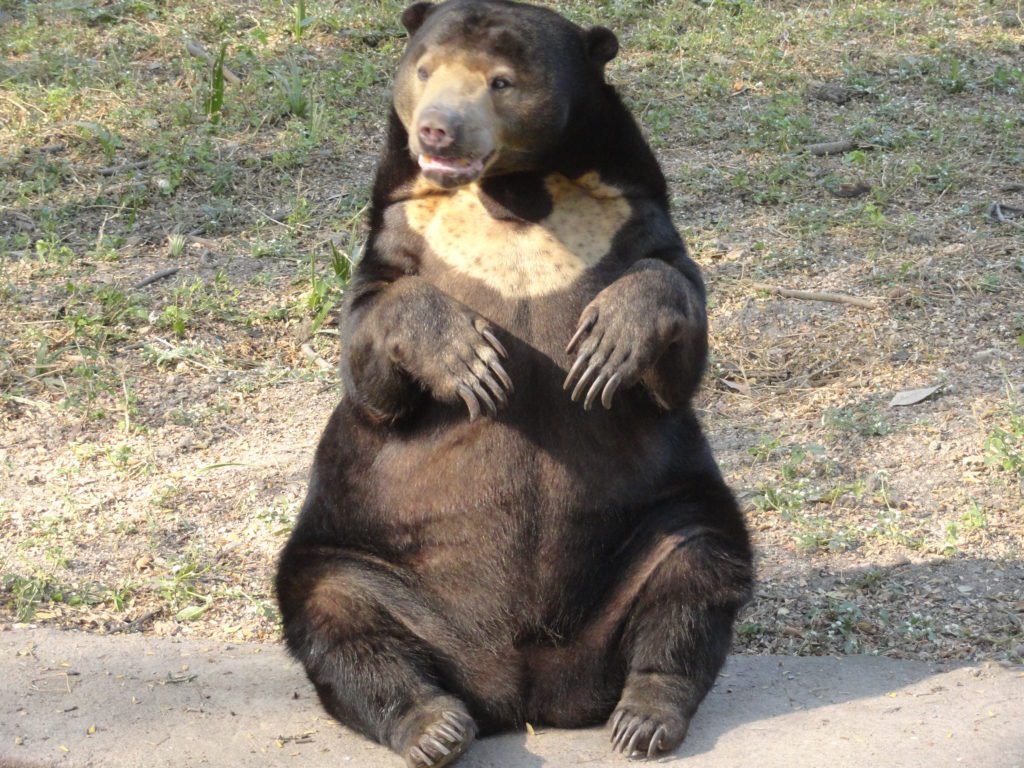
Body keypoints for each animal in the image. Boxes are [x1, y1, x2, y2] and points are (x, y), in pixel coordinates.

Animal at [275, 1, 753, 766]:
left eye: (500, 81)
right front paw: (474, 361)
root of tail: (527, 691)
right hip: (361, 552)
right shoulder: (401, 229)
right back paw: (433, 725)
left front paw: (605, 346)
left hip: (658, 524)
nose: (437, 129)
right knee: (338, 615)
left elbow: (675, 312)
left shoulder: (629, 213)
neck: (515, 197)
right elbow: (371, 352)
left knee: (695, 571)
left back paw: (645, 715)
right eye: (425, 69)